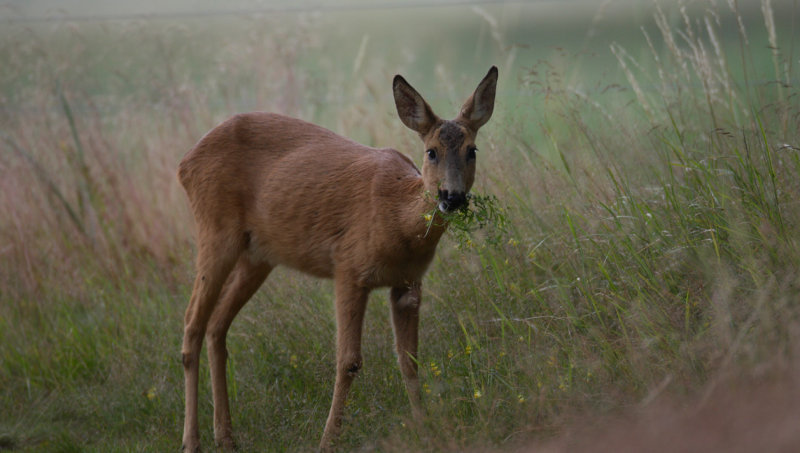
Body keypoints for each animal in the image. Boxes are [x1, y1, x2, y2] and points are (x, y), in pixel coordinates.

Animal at [178, 65, 496, 450]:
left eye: (472, 150)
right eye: (432, 151)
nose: (452, 197)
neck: (397, 221)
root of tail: (185, 163)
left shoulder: (408, 282)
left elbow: (410, 359)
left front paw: (425, 429)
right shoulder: (349, 268)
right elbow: (348, 361)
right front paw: (328, 441)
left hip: (258, 256)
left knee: (216, 326)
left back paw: (226, 437)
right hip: (215, 231)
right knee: (192, 325)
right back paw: (191, 441)